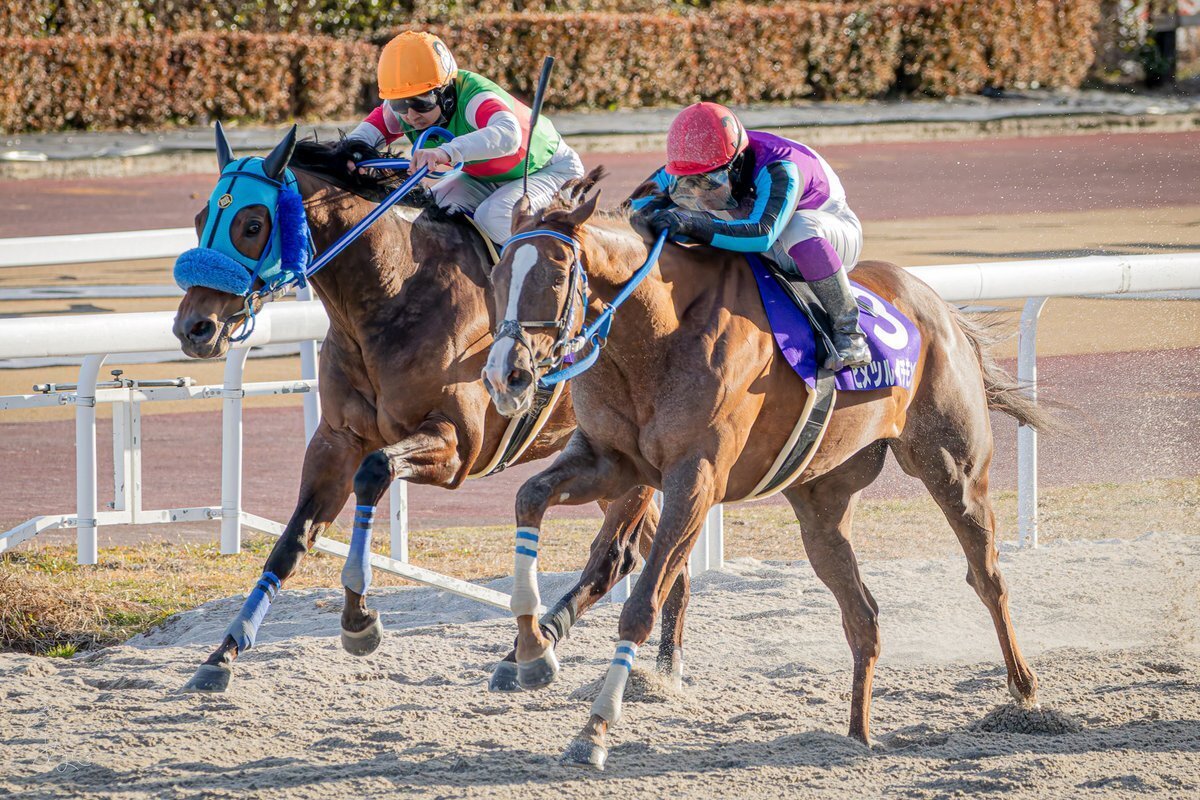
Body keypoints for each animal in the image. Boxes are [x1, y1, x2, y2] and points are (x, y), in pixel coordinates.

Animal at [171, 129, 676, 693]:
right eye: (200, 218)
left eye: (252, 224)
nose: (194, 327)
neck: (396, 294)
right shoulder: (336, 440)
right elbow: (293, 538)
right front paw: (223, 654)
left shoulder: (456, 444)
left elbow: (375, 473)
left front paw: (359, 620)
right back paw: (661, 665)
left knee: (615, 555)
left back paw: (534, 651)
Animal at [481, 168, 1052, 768]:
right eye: (495, 274)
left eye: (556, 274)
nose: (505, 375)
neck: (654, 335)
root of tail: (940, 308)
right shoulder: (611, 461)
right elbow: (529, 498)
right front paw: (532, 650)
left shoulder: (695, 480)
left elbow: (641, 603)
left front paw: (593, 731)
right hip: (823, 503)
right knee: (863, 616)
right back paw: (857, 734)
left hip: (953, 470)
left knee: (987, 578)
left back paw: (1025, 696)